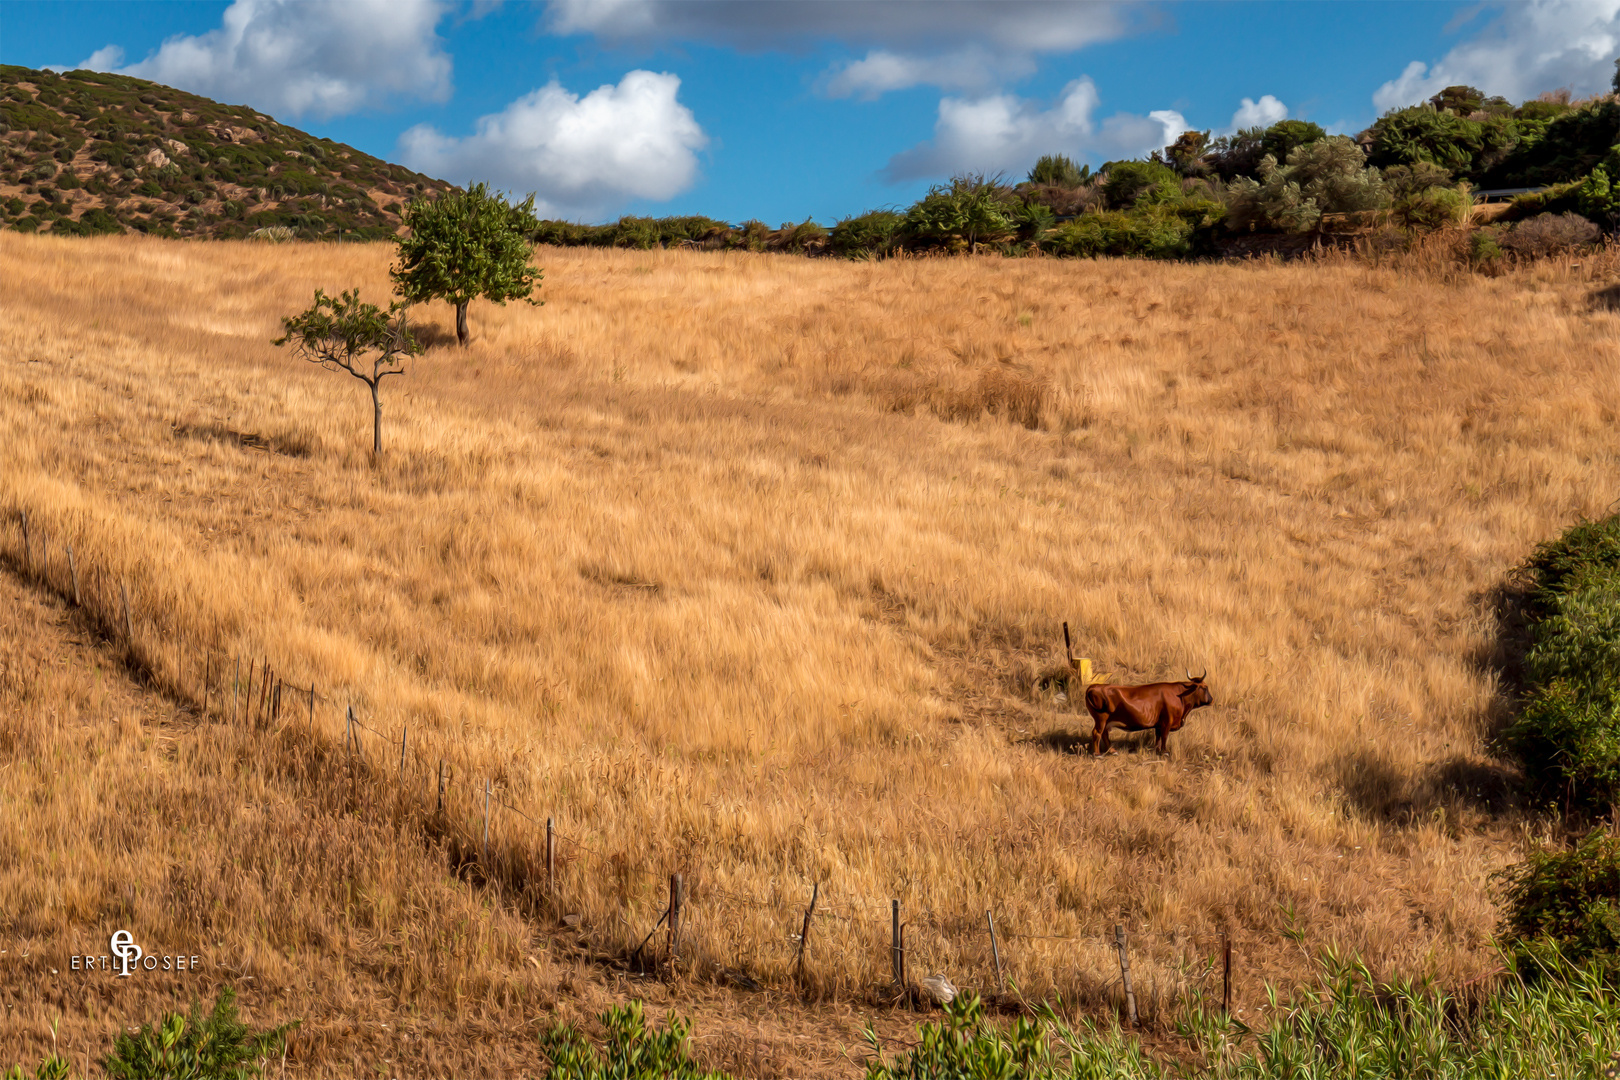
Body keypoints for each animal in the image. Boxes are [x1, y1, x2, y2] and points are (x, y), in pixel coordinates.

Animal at [1062, 621, 1218, 757]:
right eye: (1205, 687)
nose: (1212, 700)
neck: (1180, 696)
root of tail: (1094, 686)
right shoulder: (1166, 722)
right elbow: (1164, 737)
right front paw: (1164, 752)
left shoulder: (1158, 724)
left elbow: (1158, 737)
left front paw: (1156, 750)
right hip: (1101, 718)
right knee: (1097, 733)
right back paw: (1097, 754)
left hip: (1105, 720)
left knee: (1104, 734)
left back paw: (1113, 751)